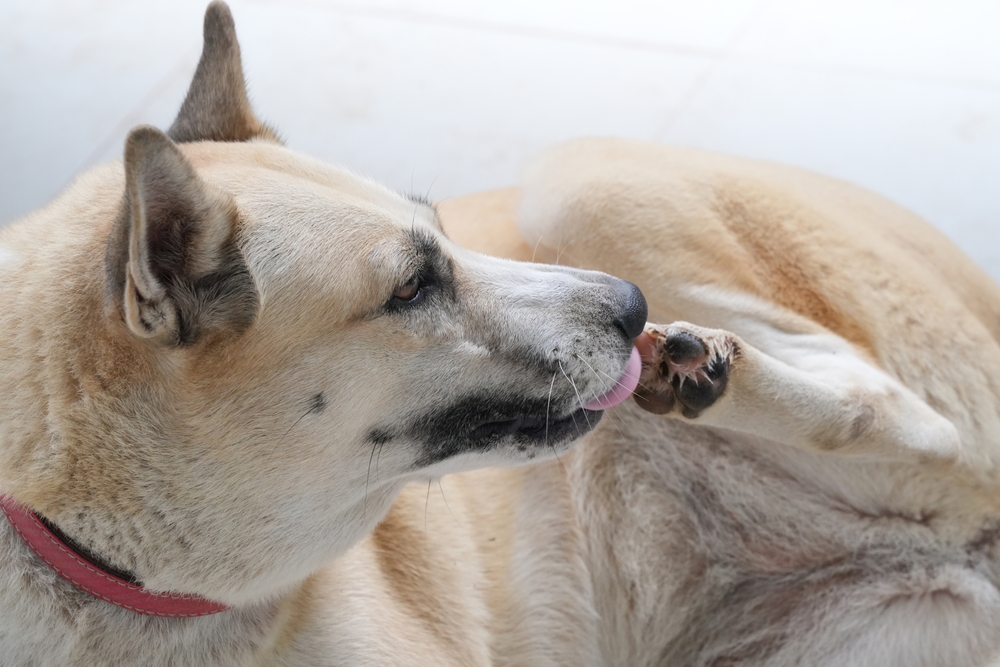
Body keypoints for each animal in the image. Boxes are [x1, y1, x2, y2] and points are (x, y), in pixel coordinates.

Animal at [1, 2, 1000, 664]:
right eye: (411, 286)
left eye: (438, 225)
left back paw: (707, 371)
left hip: (579, 177)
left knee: (920, 421)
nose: (630, 306)